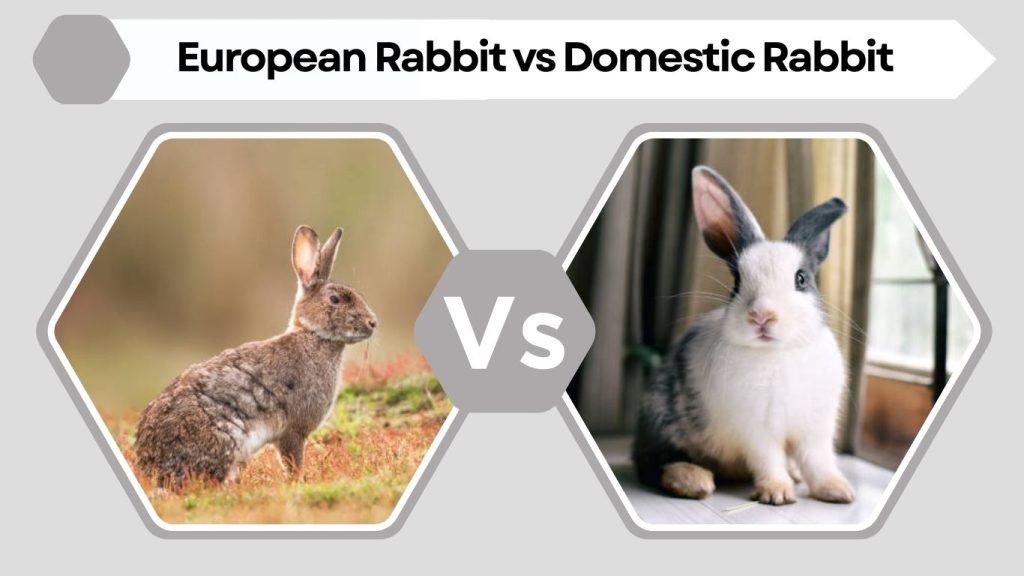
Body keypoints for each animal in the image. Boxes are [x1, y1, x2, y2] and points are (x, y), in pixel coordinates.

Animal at [134, 225, 378, 488]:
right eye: (335, 299)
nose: (373, 323)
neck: (313, 336)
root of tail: (151, 467)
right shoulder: (293, 431)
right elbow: (293, 460)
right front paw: (298, 481)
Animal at [632, 166, 855, 506]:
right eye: (737, 281)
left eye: (801, 279)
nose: (761, 315)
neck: (777, 353)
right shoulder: (757, 430)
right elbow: (768, 459)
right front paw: (777, 493)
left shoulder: (815, 429)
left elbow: (819, 461)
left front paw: (838, 491)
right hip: (661, 418)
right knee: (652, 461)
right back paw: (693, 480)